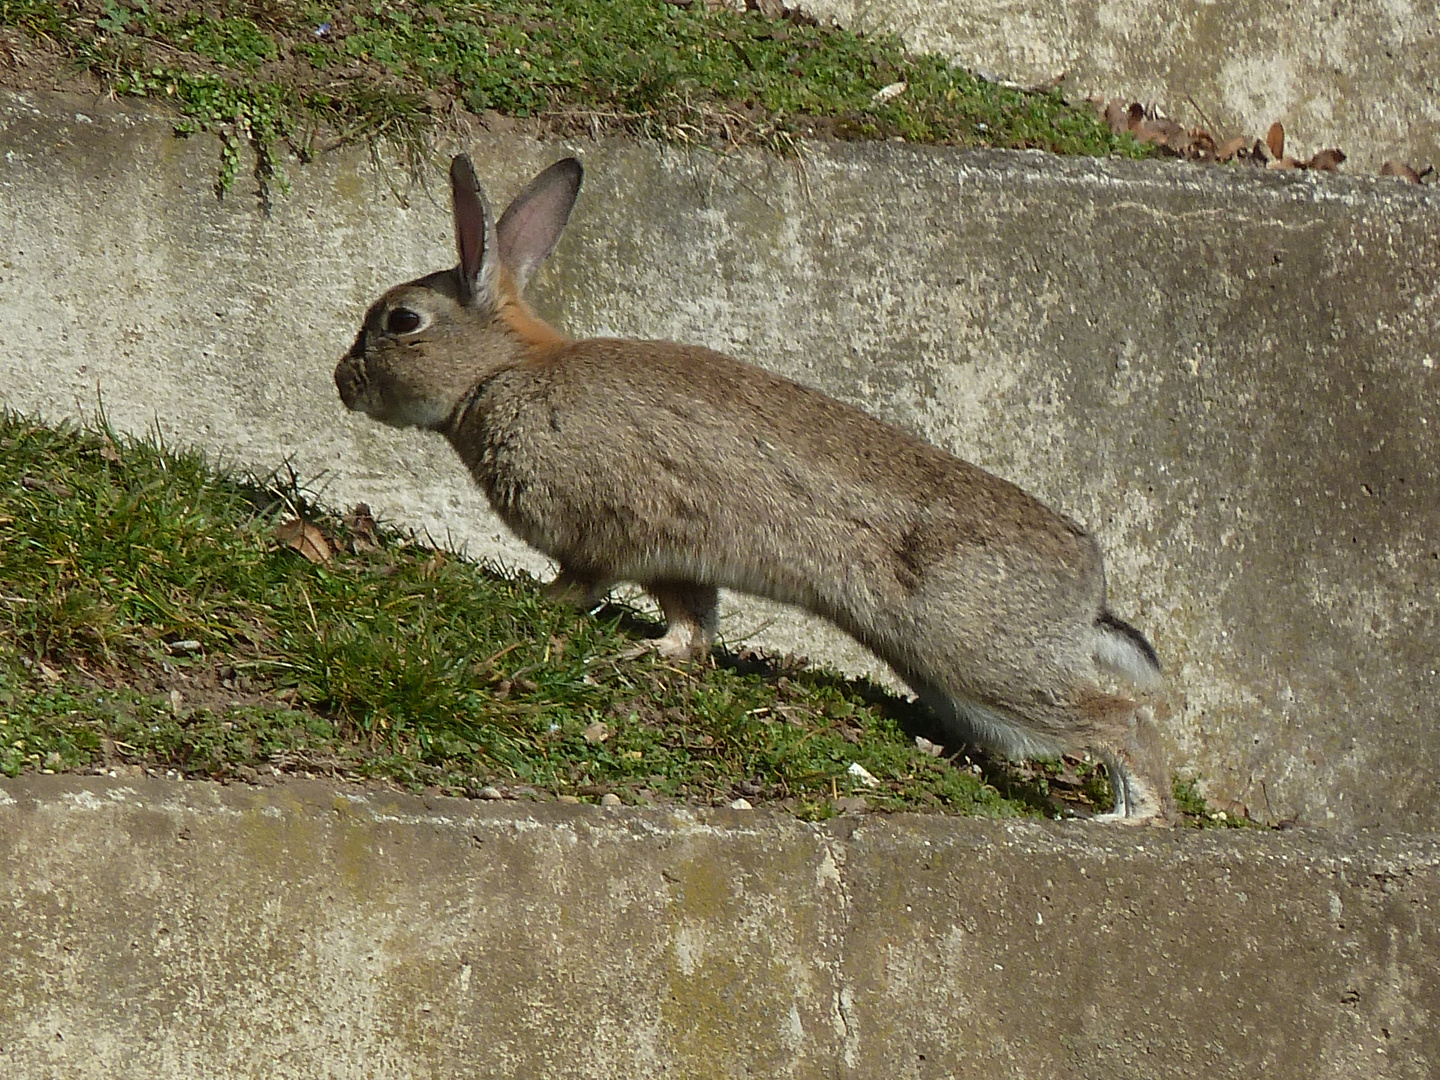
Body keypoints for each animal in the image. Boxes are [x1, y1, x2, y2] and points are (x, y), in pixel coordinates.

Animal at [334, 154, 1169, 817]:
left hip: (979, 656)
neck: (499, 374)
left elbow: (585, 580)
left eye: (401, 321)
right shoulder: (677, 557)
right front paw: (665, 651)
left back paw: (1133, 818)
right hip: (962, 685)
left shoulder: (607, 530)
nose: (343, 381)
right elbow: (692, 618)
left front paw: (543, 603)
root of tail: (1089, 588)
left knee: (1122, 719)